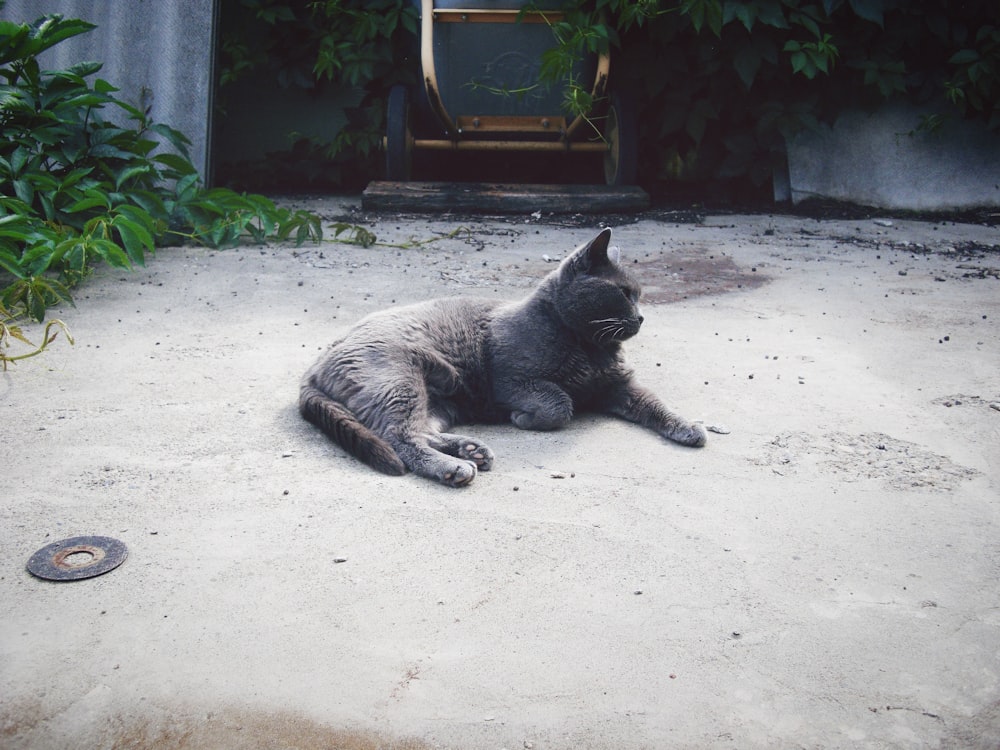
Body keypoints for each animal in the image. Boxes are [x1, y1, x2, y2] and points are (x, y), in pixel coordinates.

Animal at [300, 229, 708, 488]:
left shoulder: (619, 384)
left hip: (439, 402)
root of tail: (317, 363)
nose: (641, 317)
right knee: (399, 437)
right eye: (624, 293)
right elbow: (559, 403)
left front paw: (689, 427)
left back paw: (471, 450)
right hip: (399, 381)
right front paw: (523, 418)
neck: (588, 349)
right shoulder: (512, 381)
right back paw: (455, 467)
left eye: (639, 295)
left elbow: (655, 404)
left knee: (421, 431)